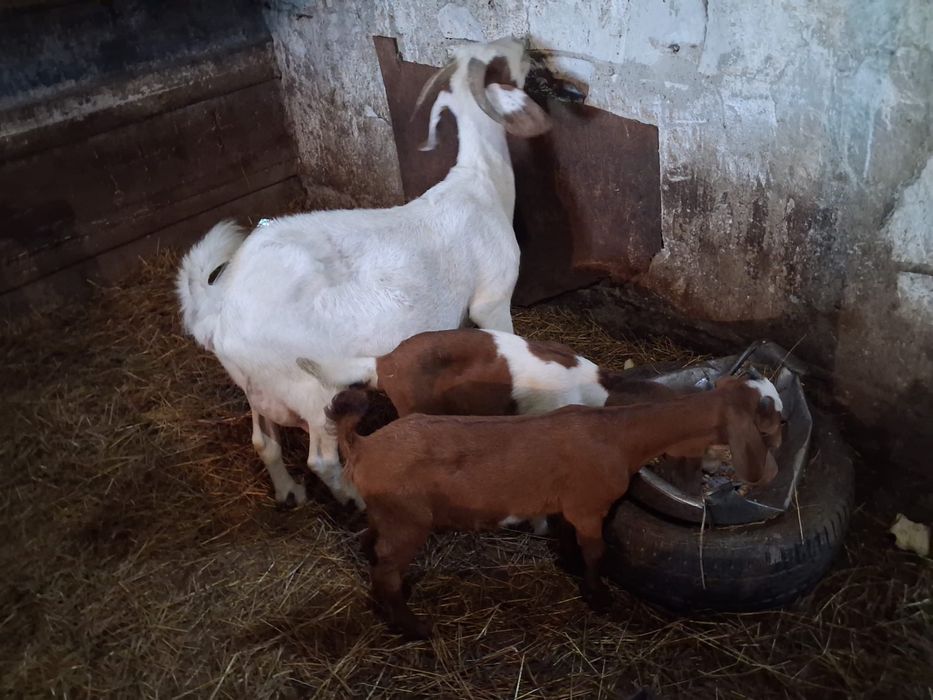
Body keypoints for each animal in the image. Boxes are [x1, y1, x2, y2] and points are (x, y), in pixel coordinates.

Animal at [176, 39, 551, 507]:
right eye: (502, 63)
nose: (528, 47)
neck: (482, 182)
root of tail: (217, 309)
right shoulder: (493, 300)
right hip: (309, 389)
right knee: (321, 459)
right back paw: (353, 498)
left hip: (257, 388)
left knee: (264, 443)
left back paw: (288, 493)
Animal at [326, 376, 783, 638]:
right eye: (768, 413)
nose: (785, 428)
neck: (619, 435)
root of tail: (363, 445)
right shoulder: (588, 506)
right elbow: (596, 552)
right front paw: (599, 597)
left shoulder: (568, 505)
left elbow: (569, 539)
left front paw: (568, 562)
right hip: (409, 520)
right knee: (385, 570)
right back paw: (414, 626)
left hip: (388, 514)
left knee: (373, 547)